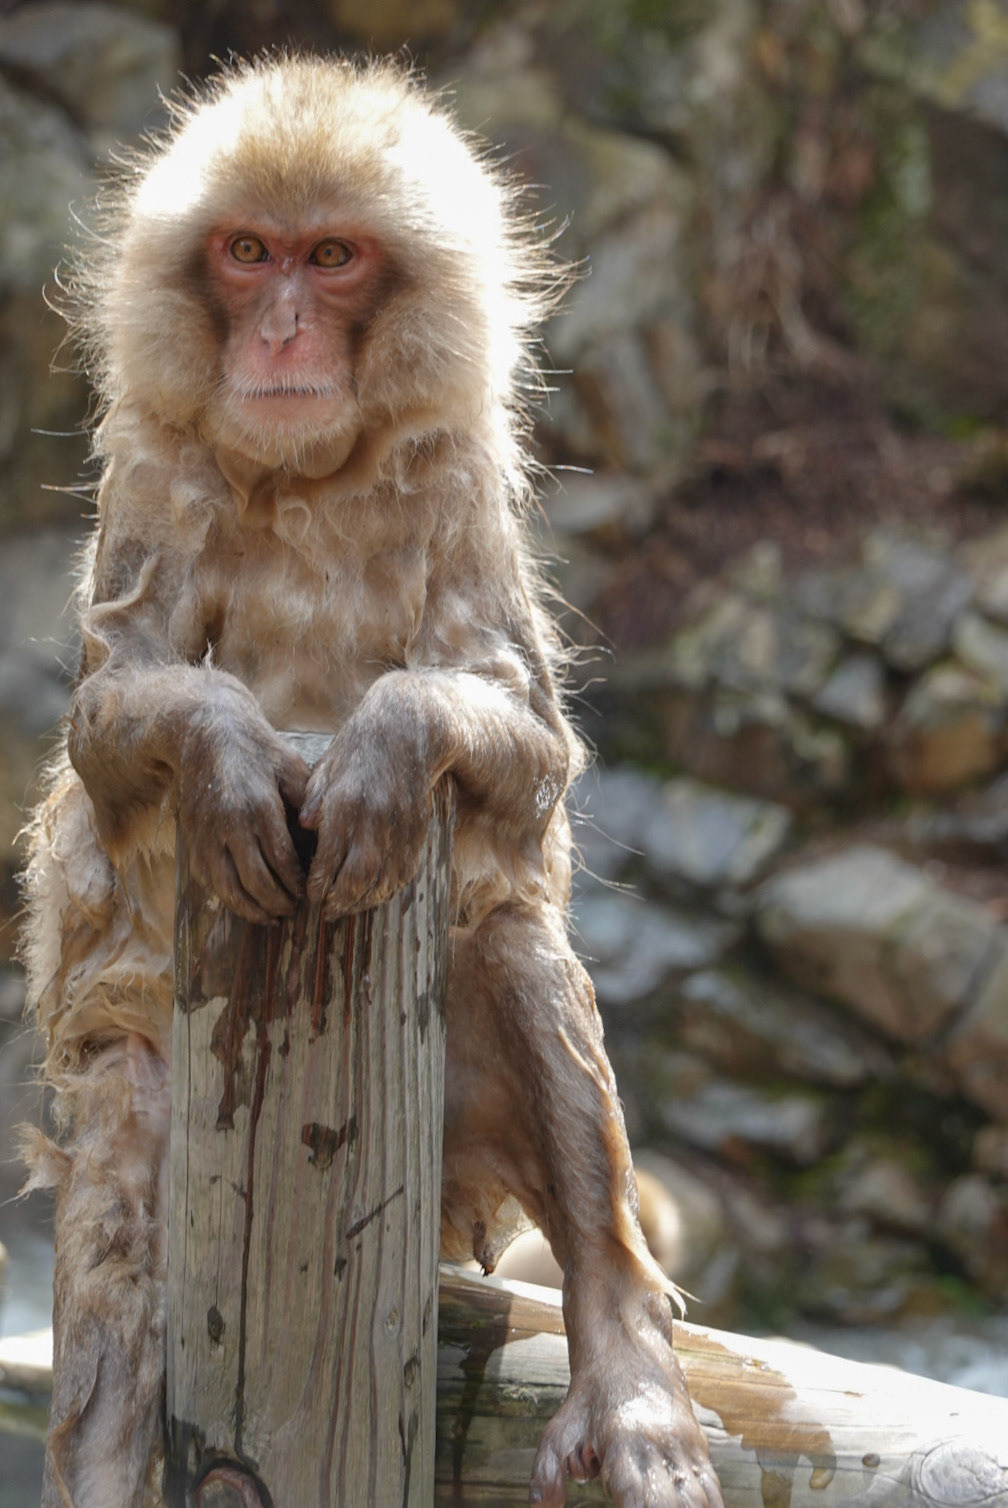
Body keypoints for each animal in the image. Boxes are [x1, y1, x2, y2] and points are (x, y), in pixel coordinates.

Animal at [20, 55, 723, 1508]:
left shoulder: (457, 470)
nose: (281, 331)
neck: (310, 470)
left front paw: (391, 749)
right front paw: (227, 754)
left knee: (513, 950)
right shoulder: (159, 463)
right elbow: (114, 711)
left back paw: (626, 1354)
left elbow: (525, 739)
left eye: (330, 259)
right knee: (123, 1191)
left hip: (469, 1148)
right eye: (247, 254)